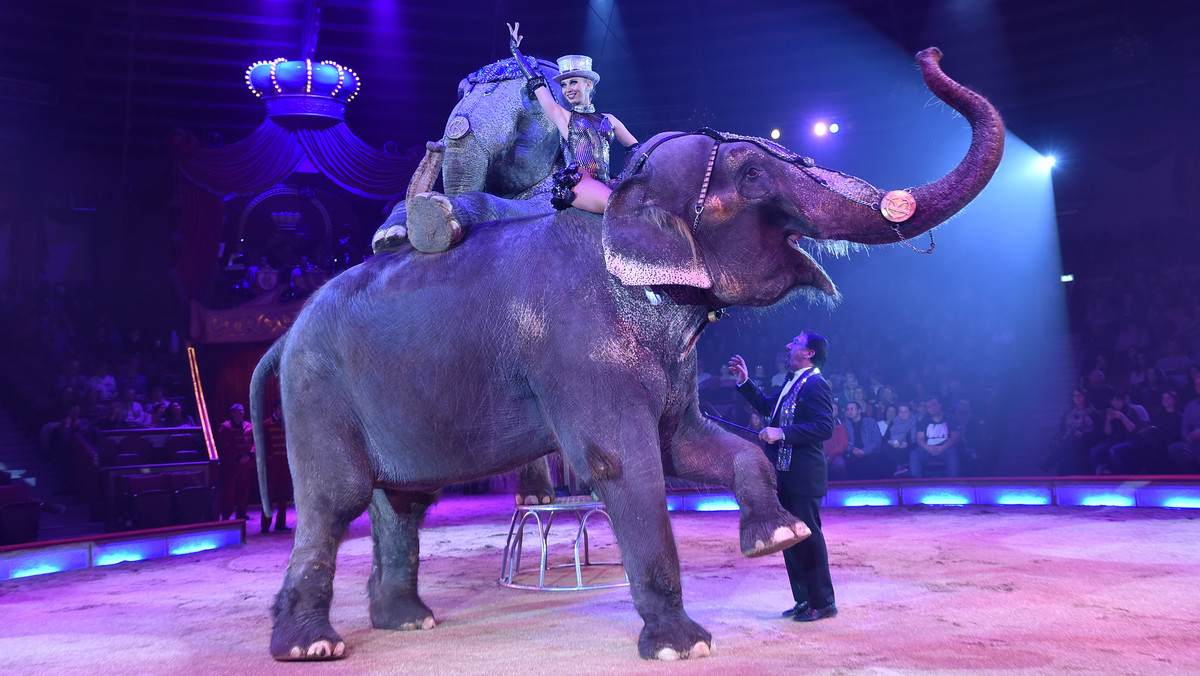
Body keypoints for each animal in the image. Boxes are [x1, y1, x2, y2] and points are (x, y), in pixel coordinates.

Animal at [250, 46, 1003, 662]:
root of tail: (287, 332)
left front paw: (778, 537)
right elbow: (624, 465)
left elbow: (693, 445)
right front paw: (683, 646)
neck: (621, 204)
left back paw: (408, 622)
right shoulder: (578, 348)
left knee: (403, 502)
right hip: (318, 393)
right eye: (751, 176)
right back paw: (312, 646)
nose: (930, 54)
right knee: (334, 500)